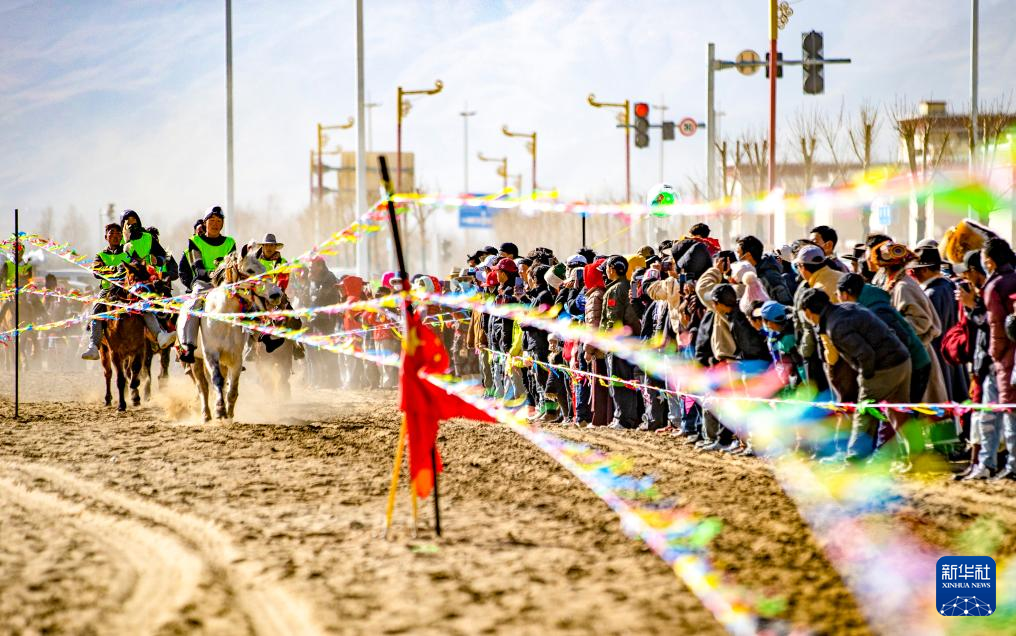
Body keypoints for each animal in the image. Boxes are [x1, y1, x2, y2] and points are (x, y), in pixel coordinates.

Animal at [187, 243, 282, 421]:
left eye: (263, 267)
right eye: (250, 270)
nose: (276, 294)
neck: (222, 318)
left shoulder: (236, 358)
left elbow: (232, 388)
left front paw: (229, 413)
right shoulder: (211, 354)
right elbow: (216, 380)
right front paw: (219, 410)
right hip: (195, 360)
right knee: (202, 386)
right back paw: (206, 414)